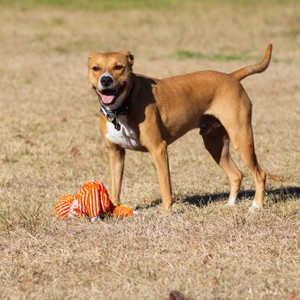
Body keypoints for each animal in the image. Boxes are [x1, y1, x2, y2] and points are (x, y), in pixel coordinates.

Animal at [86, 43, 272, 212]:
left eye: (119, 67)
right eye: (96, 68)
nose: (106, 80)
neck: (123, 106)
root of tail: (231, 76)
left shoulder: (158, 149)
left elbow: (165, 185)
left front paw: (166, 212)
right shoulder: (115, 152)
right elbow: (115, 186)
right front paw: (113, 210)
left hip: (241, 138)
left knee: (260, 174)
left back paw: (256, 206)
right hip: (216, 145)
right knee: (236, 175)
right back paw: (230, 205)